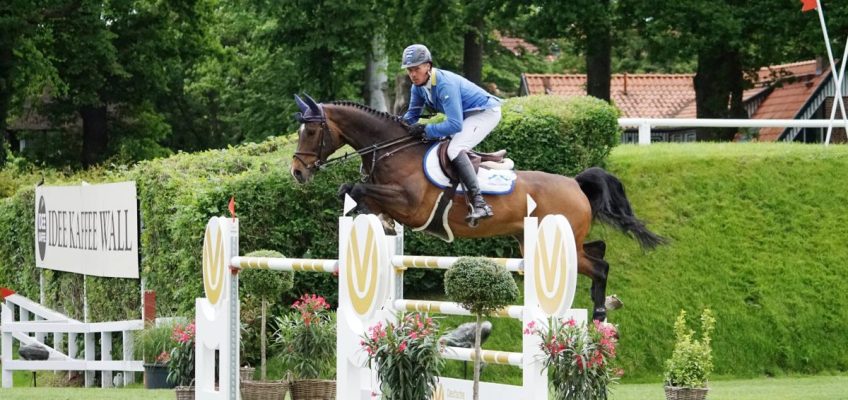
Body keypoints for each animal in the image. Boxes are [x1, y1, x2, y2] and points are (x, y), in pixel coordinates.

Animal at [292, 94, 668, 322]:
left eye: (310, 131)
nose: (297, 172)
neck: (393, 152)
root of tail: (575, 184)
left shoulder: (412, 207)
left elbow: (356, 189)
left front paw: (372, 213)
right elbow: (352, 191)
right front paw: (376, 219)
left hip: (560, 241)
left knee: (600, 265)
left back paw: (602, 310)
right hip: (533, 242)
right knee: (599, 249)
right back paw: (605, 305)